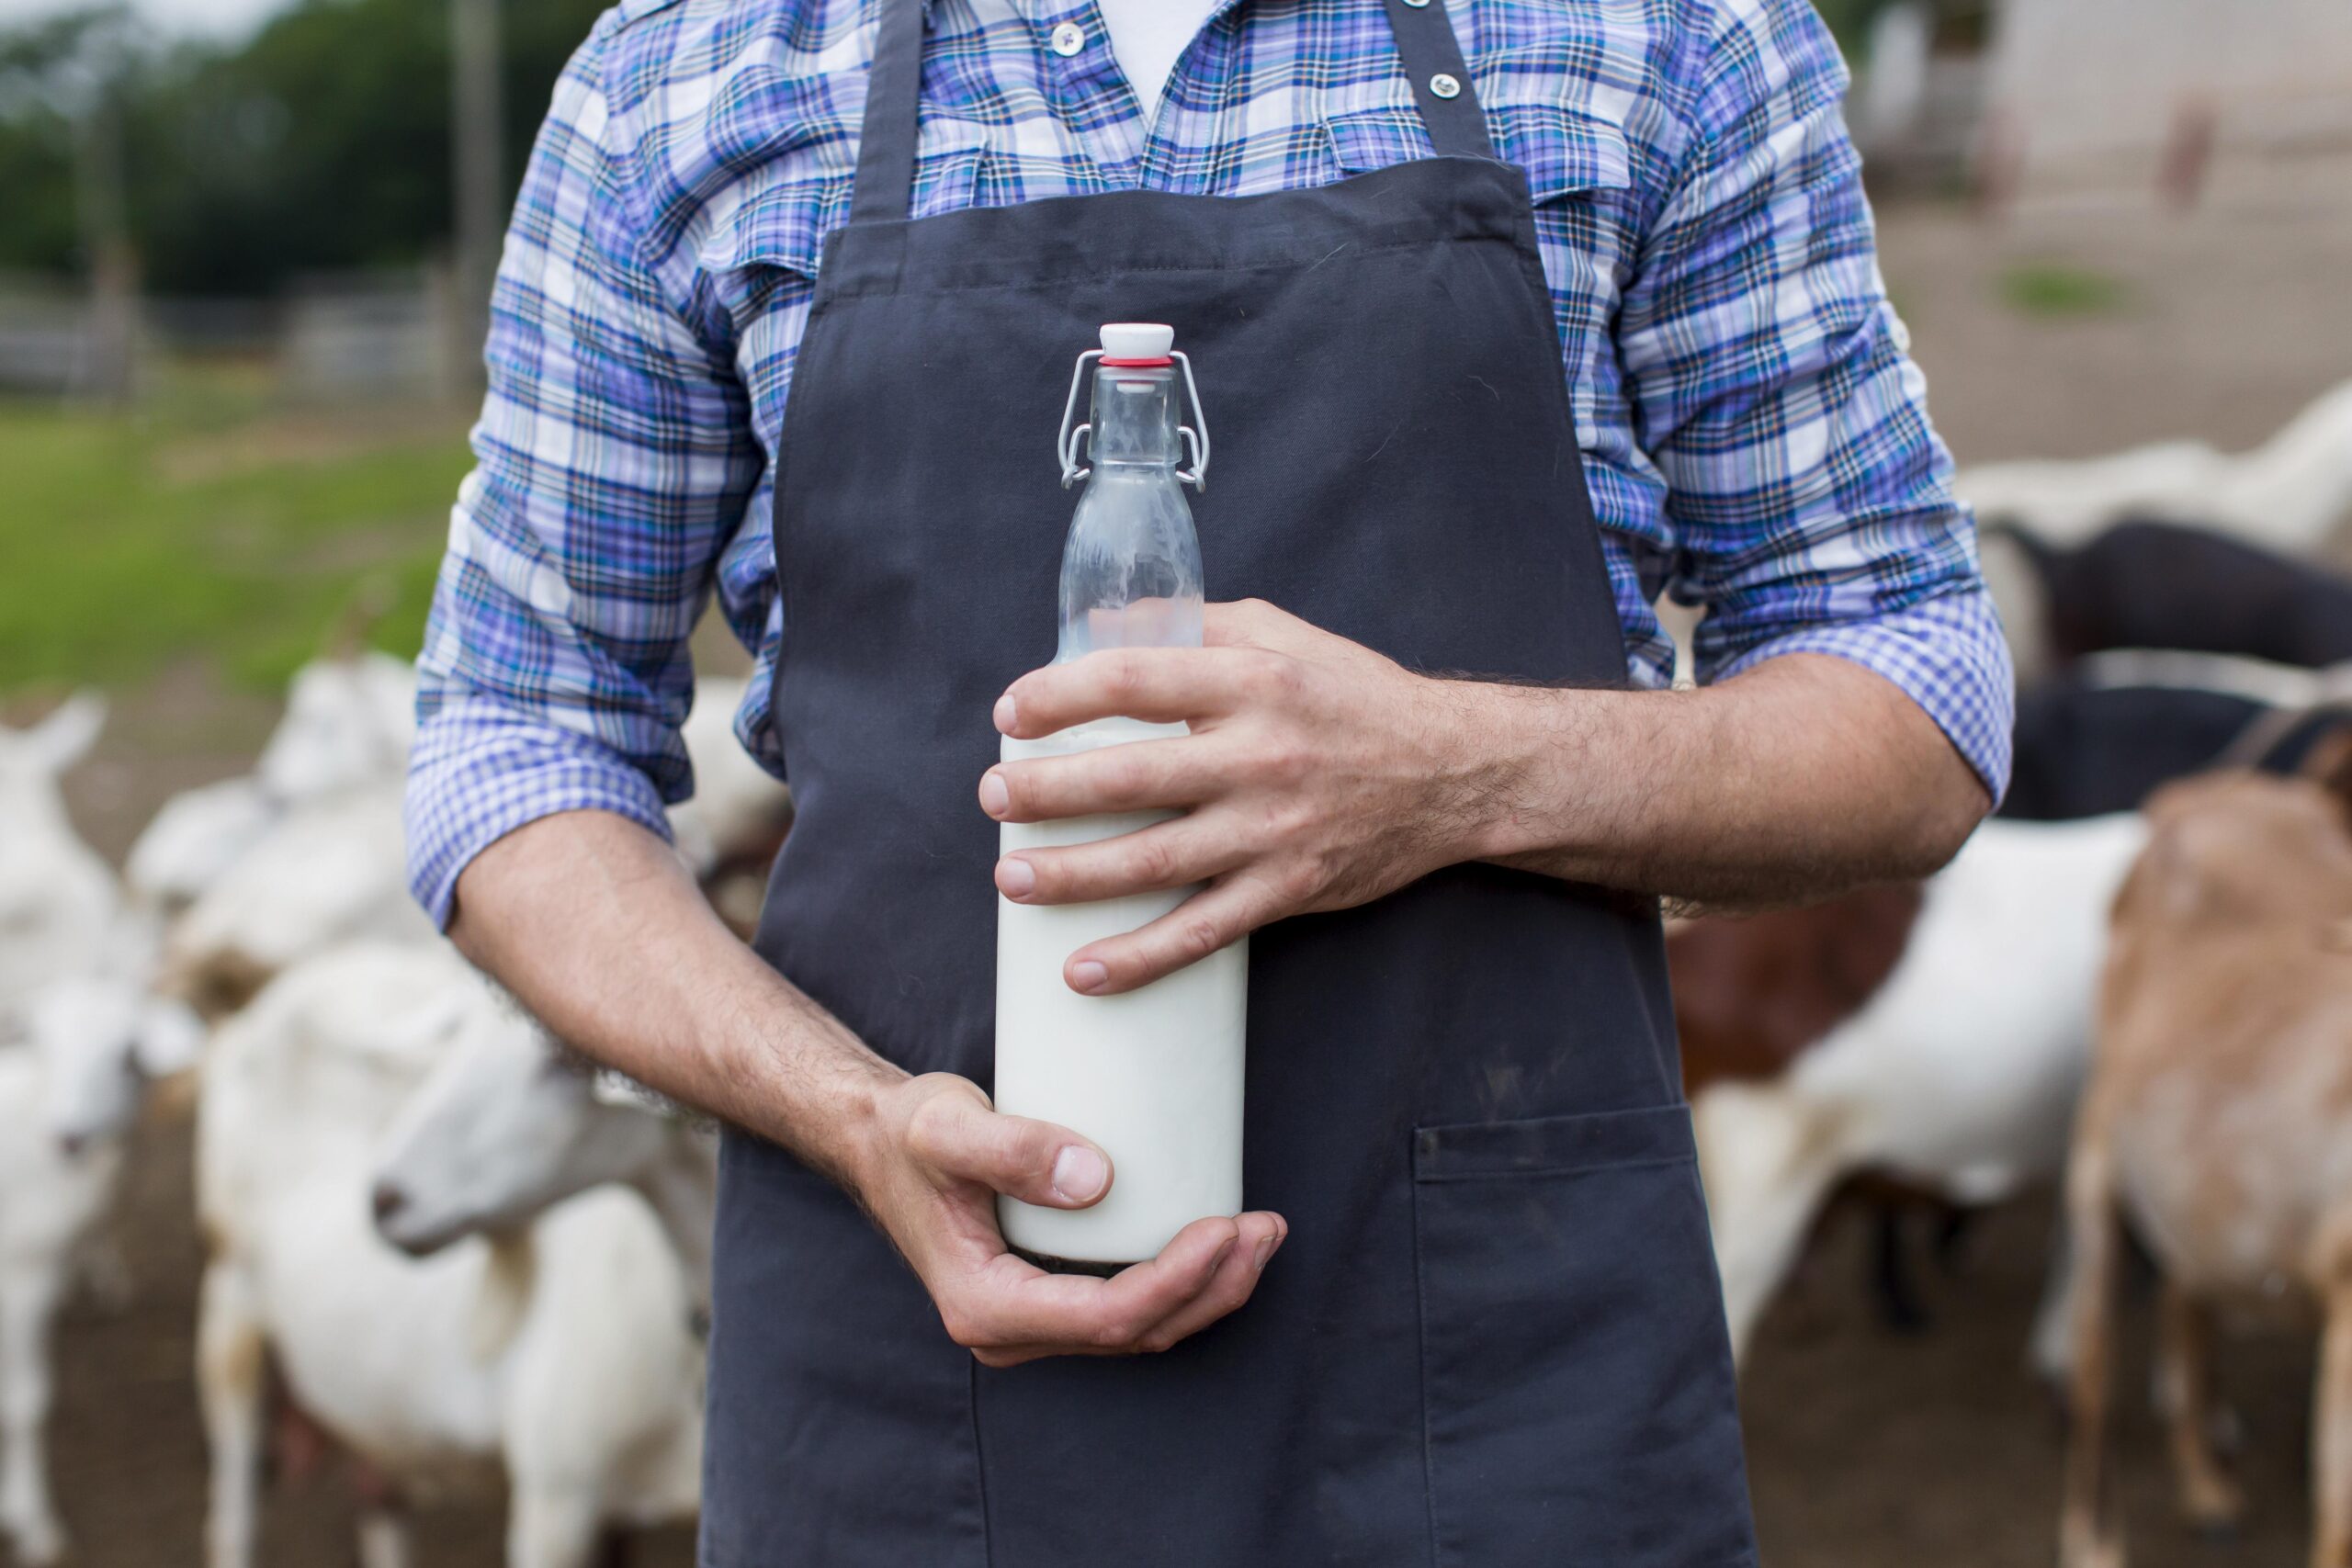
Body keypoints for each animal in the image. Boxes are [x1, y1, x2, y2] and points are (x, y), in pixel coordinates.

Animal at [0, 949, 204, 1561]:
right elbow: (26, 1402)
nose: (69, 1136)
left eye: (126, 1056)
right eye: (42, 1042)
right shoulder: (23, 1277)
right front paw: (32, 1521)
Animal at [195, 944, 695, 1568]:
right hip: (231, 1288)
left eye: (568, 1061)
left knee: (379, 1492)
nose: (386, 1198)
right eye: (456, 1040)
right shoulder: (556, 1495)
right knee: (233, 1491)